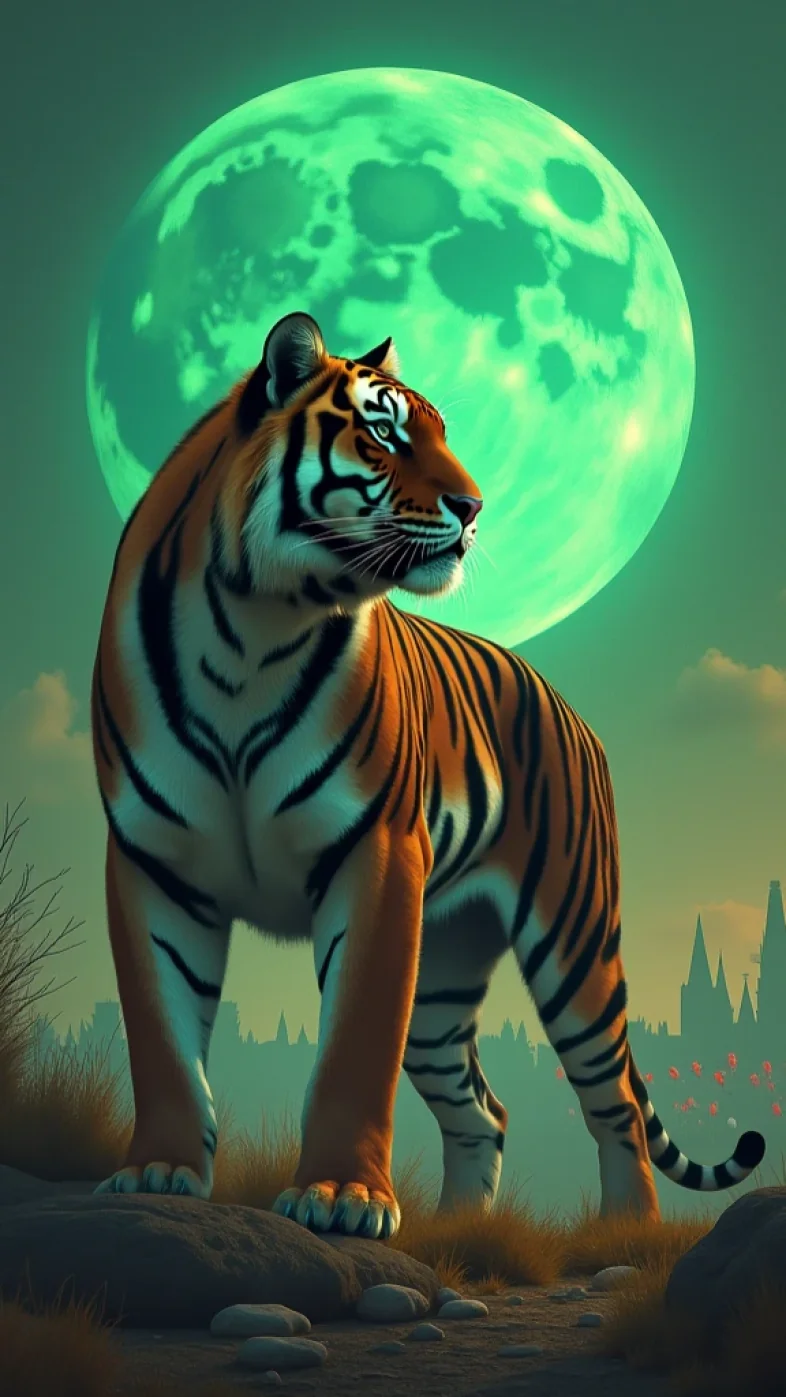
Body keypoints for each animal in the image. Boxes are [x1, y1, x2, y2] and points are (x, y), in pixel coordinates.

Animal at [91, 310, 765, 1238]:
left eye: (444, 430)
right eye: (383, 432)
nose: (476, 507)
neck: (250, 630)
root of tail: (569, 704)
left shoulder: (374, 856)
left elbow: (352, 1049)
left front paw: (341, 1197)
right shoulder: (151, 860)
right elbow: (161, 1036)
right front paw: (157, 1171)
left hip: (573, 938)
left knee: (616, 1104)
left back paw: (625, 1232)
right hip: (443, 972)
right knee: (484, 1109)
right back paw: (458, 1230)